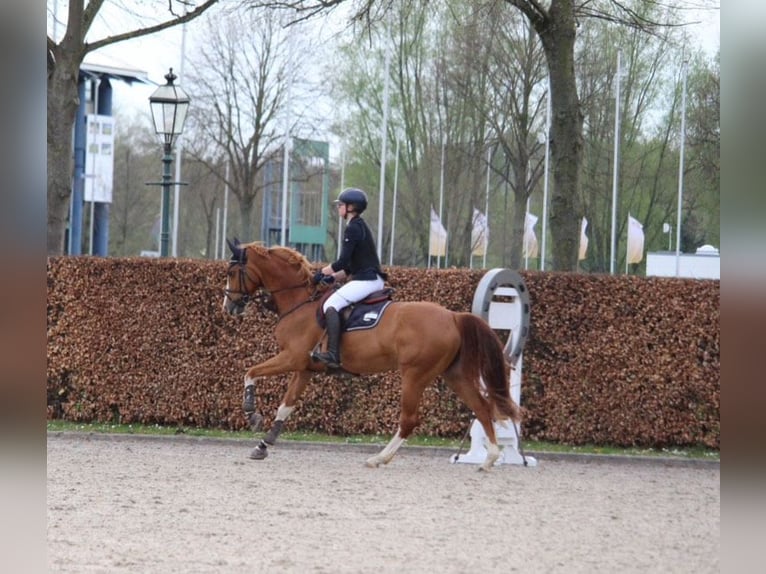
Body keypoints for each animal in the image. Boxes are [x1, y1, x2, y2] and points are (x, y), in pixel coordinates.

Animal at [222, 238, 520, 472]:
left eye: (233, 271)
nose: (229, 307)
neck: (299, 301)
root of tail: (453, 316)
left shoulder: (292, 358)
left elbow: (250, 372)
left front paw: (251, 414)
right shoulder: (304, 368)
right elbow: (286, 406)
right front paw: (264, 444)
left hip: (415, 375)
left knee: (409, 420)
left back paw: (379, 458)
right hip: (454, 375)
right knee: (481, 406)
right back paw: (490, 458)